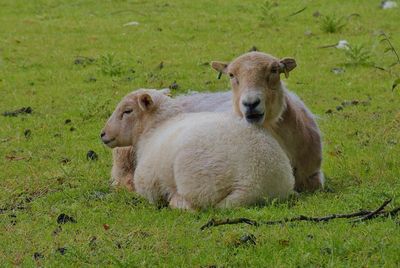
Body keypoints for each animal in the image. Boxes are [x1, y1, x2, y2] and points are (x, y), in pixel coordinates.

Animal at [100, 89, 294, 208]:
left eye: (127, 111)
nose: (102, 134)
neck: (155, 127)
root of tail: (255, 183)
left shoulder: (148, 183)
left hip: (197, 182)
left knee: (194, 205)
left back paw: (175, 200)